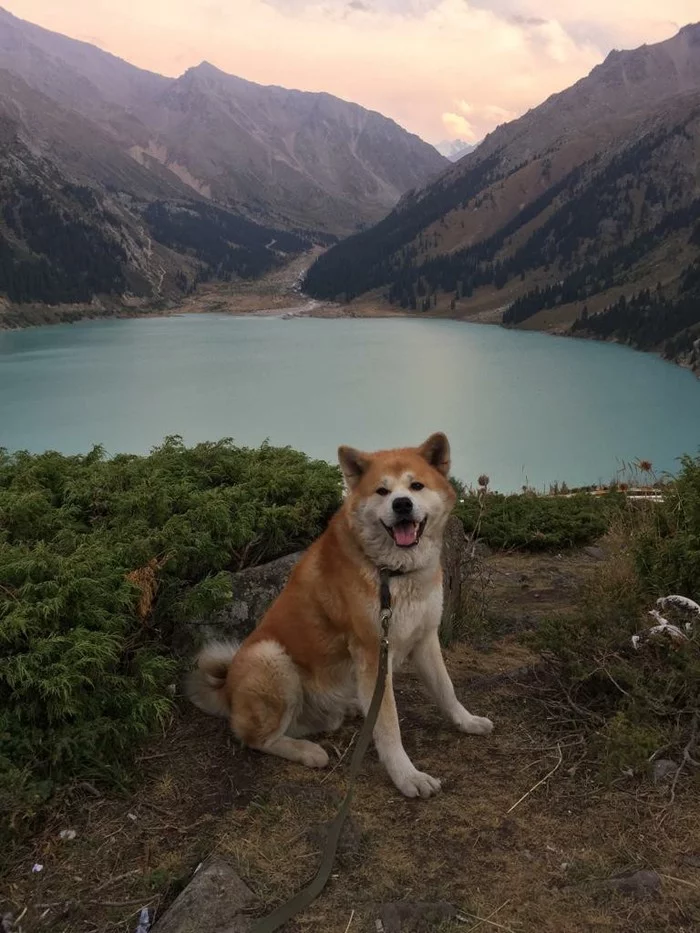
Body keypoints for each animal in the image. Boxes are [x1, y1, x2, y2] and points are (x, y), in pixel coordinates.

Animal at [186, 434, 492, 796]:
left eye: (416, 485)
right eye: (382, 491)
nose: (402, 504)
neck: (390, 572)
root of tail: (226, 690)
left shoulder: (425, 637)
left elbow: (446, 689)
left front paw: (466, 721)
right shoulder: (373, 653)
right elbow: (389, 727)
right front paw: (407, 776)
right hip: (271, 657)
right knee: (256, 738)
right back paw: (307, 751)